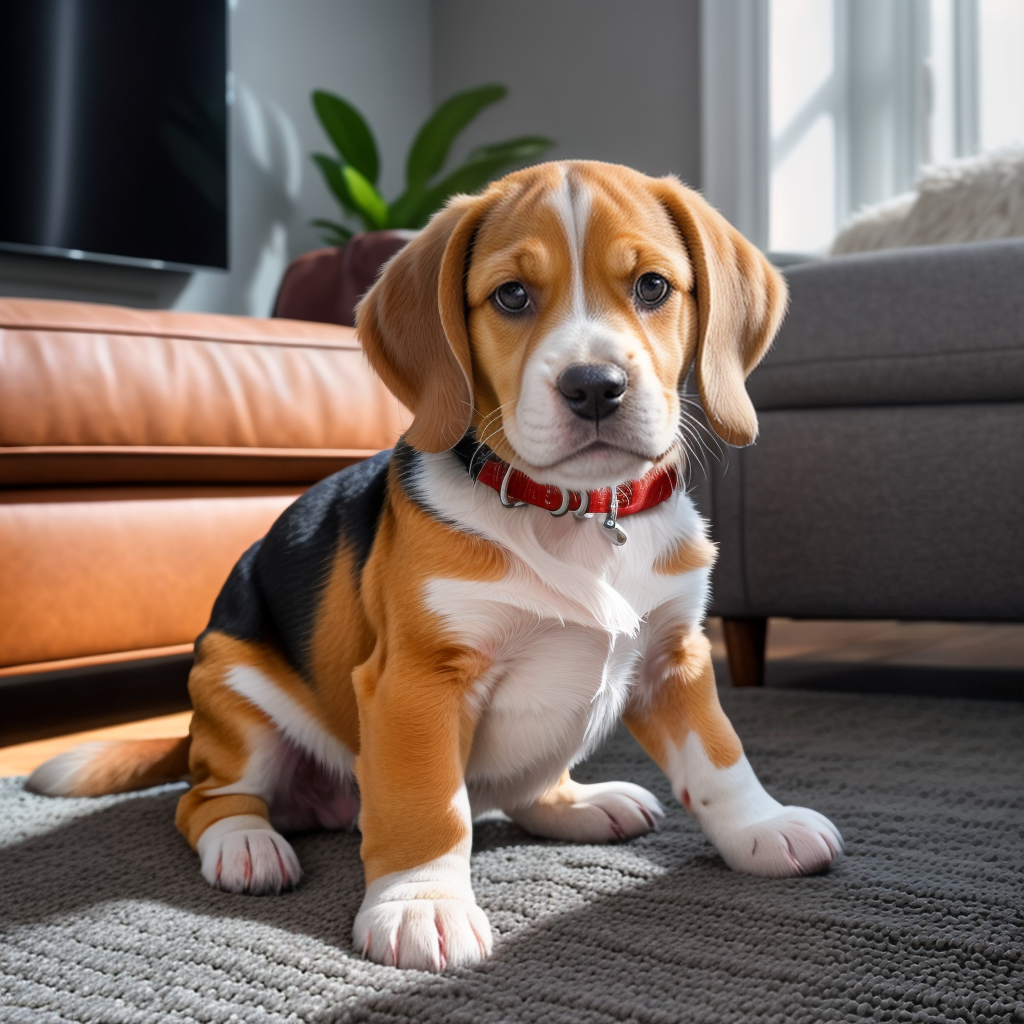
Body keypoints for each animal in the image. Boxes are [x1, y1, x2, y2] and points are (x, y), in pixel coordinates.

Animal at [34, 159, 847, 966]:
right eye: (512, 295)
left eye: (652, 286)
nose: (594, 387)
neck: (575, 513)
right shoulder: (418, 681)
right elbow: (432, 807)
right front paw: (422, 902)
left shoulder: (675, 659)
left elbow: (720, 758)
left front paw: (761, 828)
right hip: (236, 694)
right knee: (206, 798)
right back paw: (246, 845)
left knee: (528, 792)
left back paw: (583, 803)